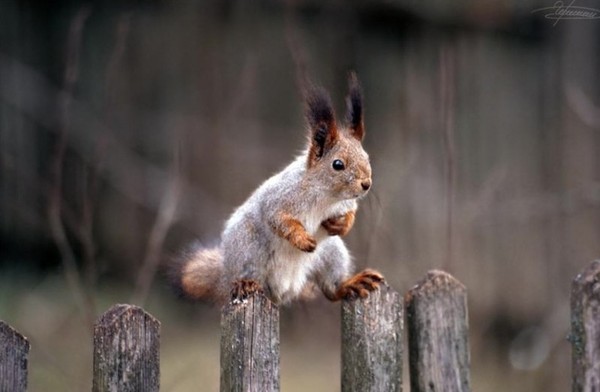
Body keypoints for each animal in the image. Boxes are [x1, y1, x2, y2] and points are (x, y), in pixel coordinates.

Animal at [170, 74, 384, 306]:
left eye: (367, 157)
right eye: (338, 164)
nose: (366, 184)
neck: (327, 195)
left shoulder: (345, 204)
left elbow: (351, 213)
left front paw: (342, 224)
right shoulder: (280, 199)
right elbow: (278, 219)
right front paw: (302, 238)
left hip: (332, 253)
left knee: (332, 289)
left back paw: (351, 283)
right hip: (248, 249)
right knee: (247, 278)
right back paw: (246, 284)